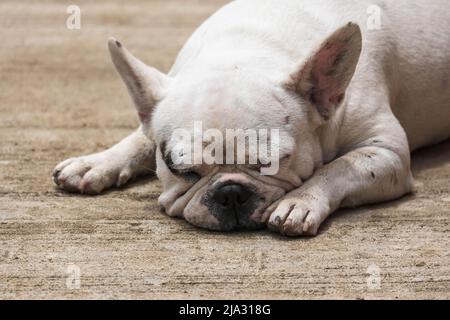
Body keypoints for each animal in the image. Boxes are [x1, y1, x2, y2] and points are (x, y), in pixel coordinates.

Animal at [53, 0, 450, 235]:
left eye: (272, 163)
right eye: (182, 170)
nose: (230, 193)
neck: (242, 51)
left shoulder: (385, 151)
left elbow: (338, 168)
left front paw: (300, 203)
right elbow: (139, 136)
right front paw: (97, 162)